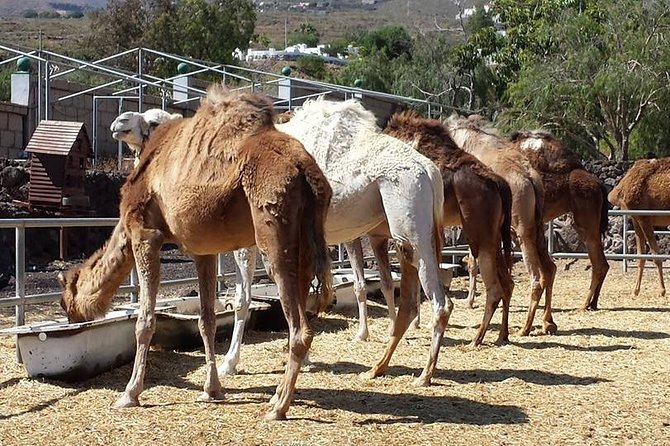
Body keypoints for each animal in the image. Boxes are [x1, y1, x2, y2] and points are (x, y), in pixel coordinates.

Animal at [59, 86, 334, 421]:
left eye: (65, 299)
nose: (70, 315)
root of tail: (307, 170)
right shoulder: (204, 251)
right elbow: (207, 319)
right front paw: (212, 389)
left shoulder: (144, 234)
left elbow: (144, 321)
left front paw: (130, 393)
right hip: (308, 237)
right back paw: (276, 396)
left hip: (272, 227)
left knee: (299, 327)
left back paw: (278, 407)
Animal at [382, 111, 515, 346]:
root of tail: (500, 184)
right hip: (495, 235)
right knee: (507, 283)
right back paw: (502, 335)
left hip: (479, 235)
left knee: (495, 288)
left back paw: (476, 339)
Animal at [445, 114, 558, 336]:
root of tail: (530, 180)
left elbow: (473, 263)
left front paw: (470, 301)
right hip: (536, 228)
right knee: (550, 269)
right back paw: (547, 322)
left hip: (523, 231)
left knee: (536, 278)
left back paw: (524, 328)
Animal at [608, 157, 670, 297]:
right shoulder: (636, 219)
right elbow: (640, 256)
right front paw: (635, 290)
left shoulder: (644, 217)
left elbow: (656, 256)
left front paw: (662, 290)